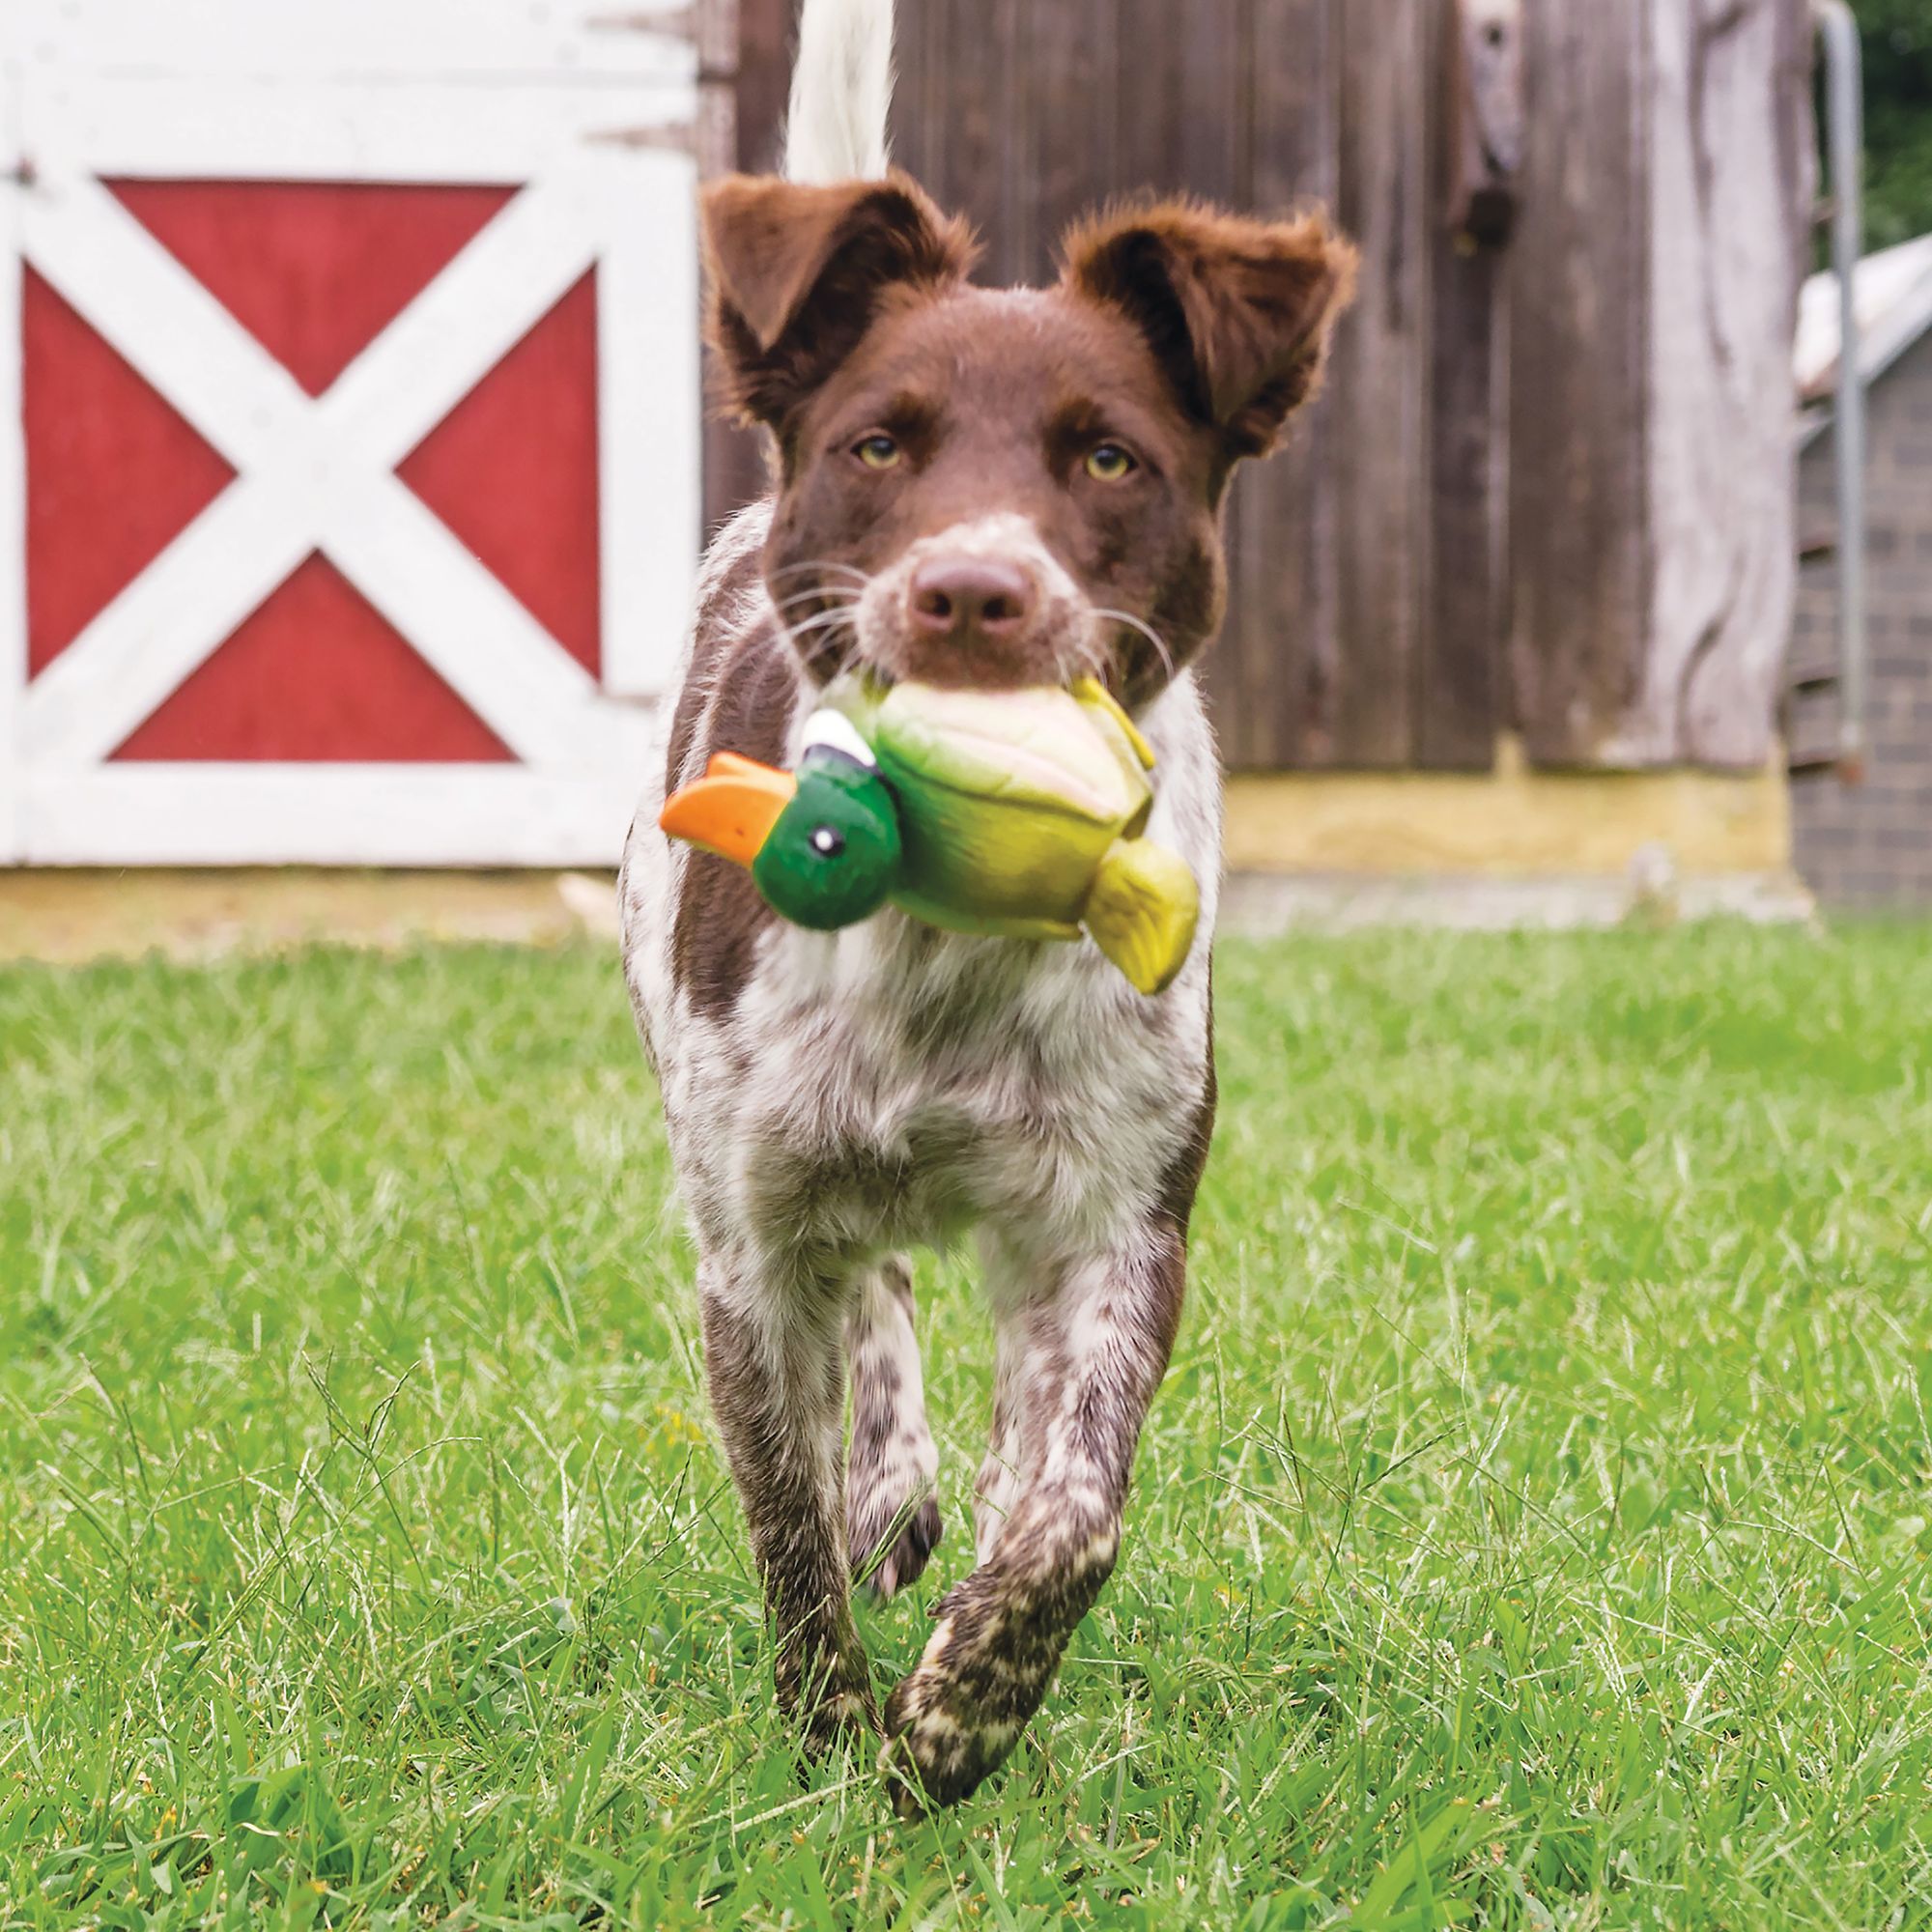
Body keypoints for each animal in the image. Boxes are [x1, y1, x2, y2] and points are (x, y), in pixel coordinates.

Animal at [622, 0, 1360, 1808]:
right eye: (880, 443)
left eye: (1108, 455)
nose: (973, 592)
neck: (946, 934)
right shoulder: (747, 1246)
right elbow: (787, 1520)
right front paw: (839, 1755)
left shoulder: (1111, 1225)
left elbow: (1070, 1517)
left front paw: (961, 1715)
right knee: (868, 1304)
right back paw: (889, 1480)